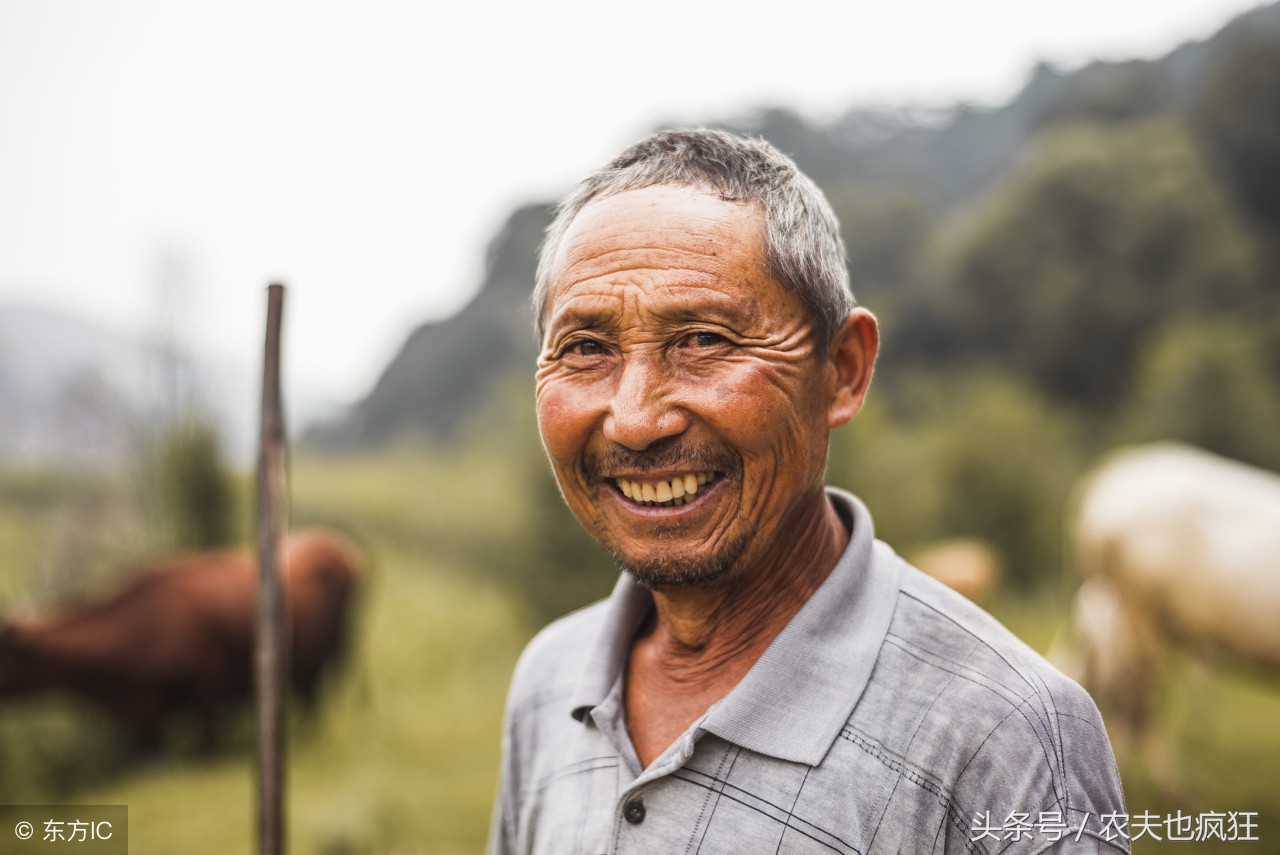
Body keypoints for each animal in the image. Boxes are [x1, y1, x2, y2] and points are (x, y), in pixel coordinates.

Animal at [0, 527, 363, 747]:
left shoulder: (208, 694)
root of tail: (339, 547)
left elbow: (208, 746)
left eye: (7, 656)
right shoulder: (150, 719)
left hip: (337, 650)